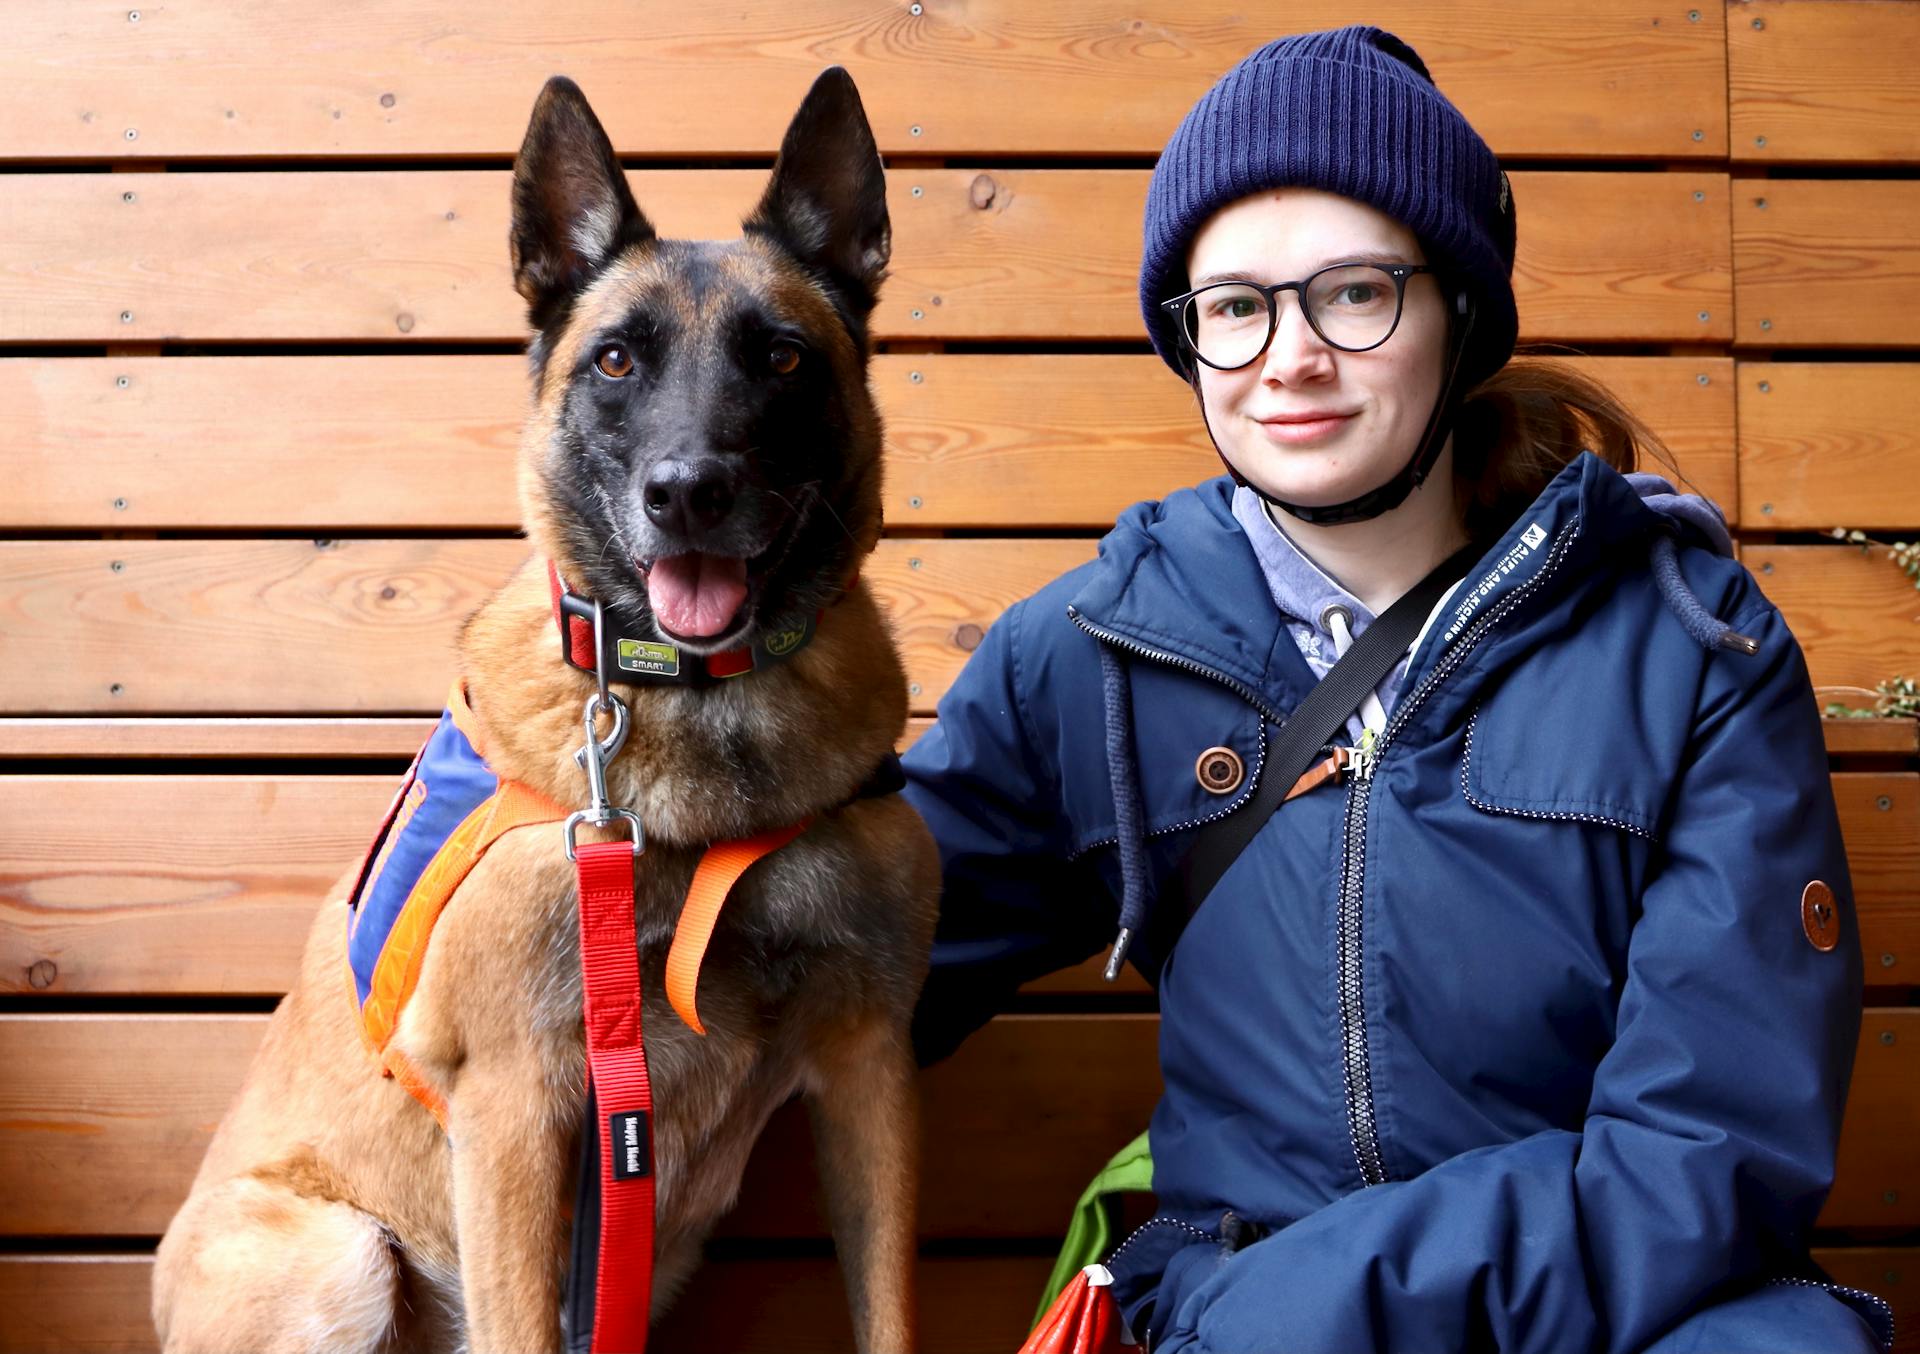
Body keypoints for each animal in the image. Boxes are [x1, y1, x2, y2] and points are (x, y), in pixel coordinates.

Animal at [155, 73, 944, 1352]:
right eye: (616, 360)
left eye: (781, 358)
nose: (688, 492)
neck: (707, 713)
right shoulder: (521, 1103)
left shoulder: (870, 1067)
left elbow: (888, 1310)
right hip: (339, 1256)